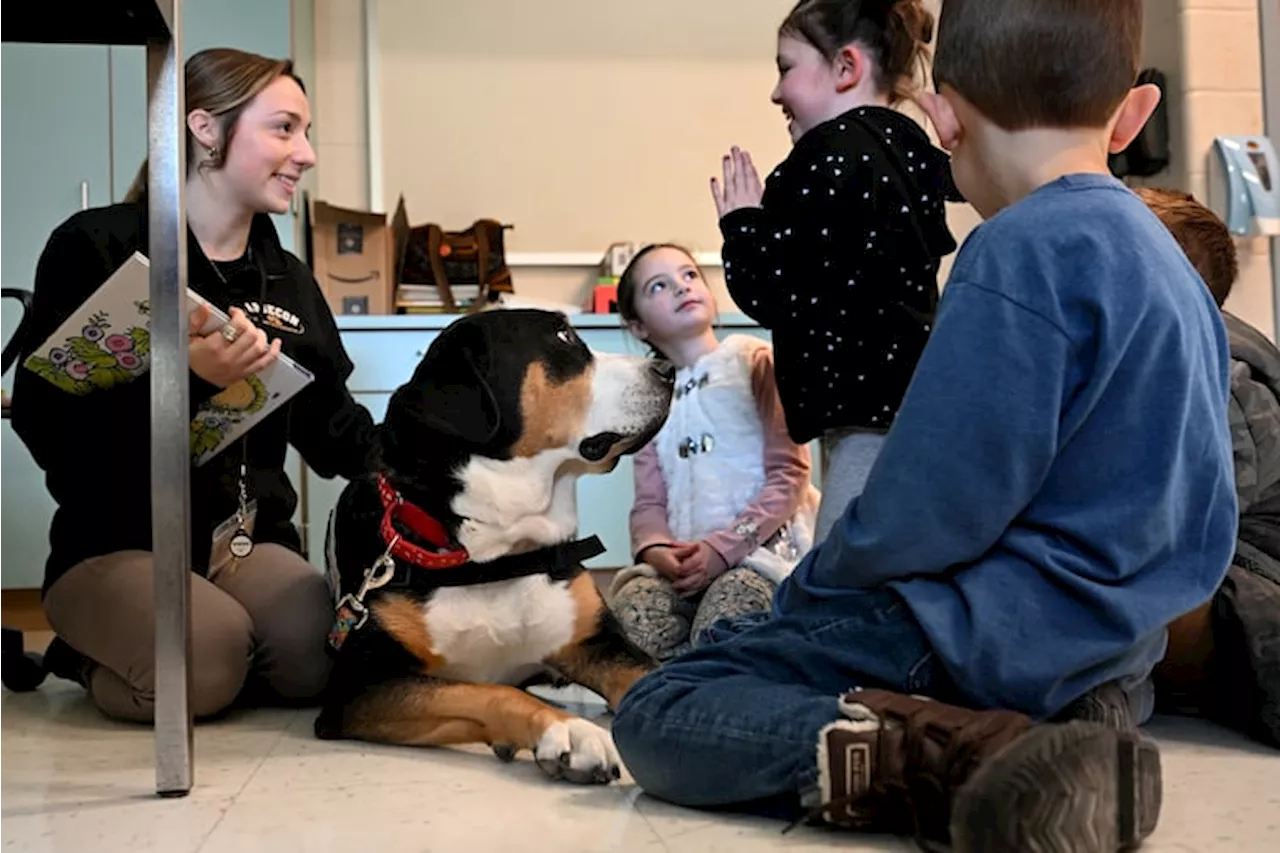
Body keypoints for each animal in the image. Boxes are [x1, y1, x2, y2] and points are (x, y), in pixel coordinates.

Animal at [316, 308, 675, 778]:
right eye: (564, 336)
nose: (669, 369)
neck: (498, 554)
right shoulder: (358, 684)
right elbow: (489, 691)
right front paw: (569, 730)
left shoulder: (599, 643)